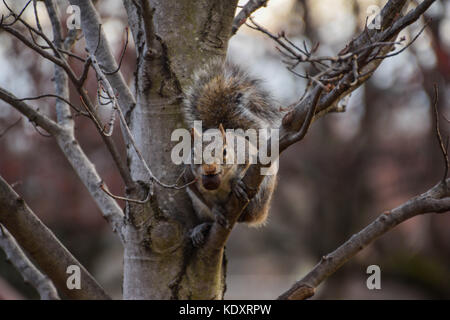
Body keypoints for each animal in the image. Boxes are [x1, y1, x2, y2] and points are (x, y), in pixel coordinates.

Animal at [183, 58, 282, 246]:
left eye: (224, 152)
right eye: (193, 154)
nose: (210, 169)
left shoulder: (246, 154)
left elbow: (246, 166)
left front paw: (236, 183)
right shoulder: (189, 178)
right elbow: (204, 198)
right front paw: (216, 211)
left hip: (262, 191)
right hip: (199, 208)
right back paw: (202, 228)